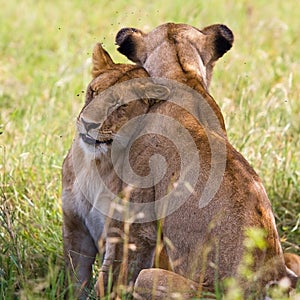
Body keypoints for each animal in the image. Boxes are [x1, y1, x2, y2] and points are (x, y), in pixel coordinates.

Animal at [61, 42, 171, 298]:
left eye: (119, 106)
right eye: (93, 92)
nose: (88, 123)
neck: (94, 165)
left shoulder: (127, 238)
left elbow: (107, 285)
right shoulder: (75, 227)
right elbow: (75, 281)